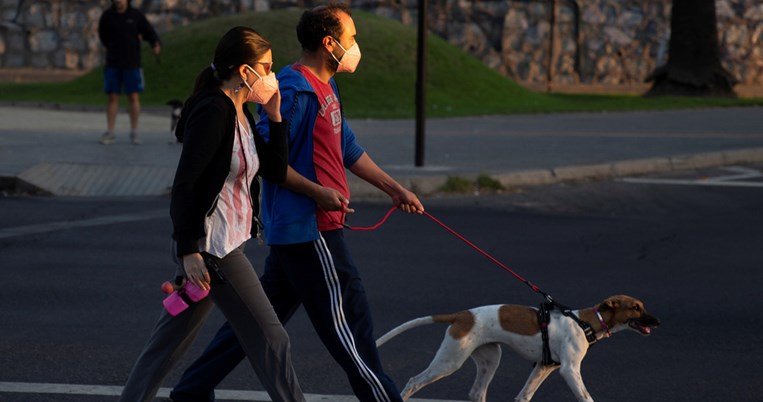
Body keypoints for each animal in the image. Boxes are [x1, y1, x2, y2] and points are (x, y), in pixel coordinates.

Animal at [380, 294, 660, 400]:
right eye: (636, 307)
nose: (658, 322)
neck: (585, 322)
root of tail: (462, 314)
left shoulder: (544, 367)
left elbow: (524, 396)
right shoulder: (569, 370)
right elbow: (585, 397)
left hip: (490, 358)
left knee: (476, 393)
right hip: (450, 360)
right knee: (414, 381)